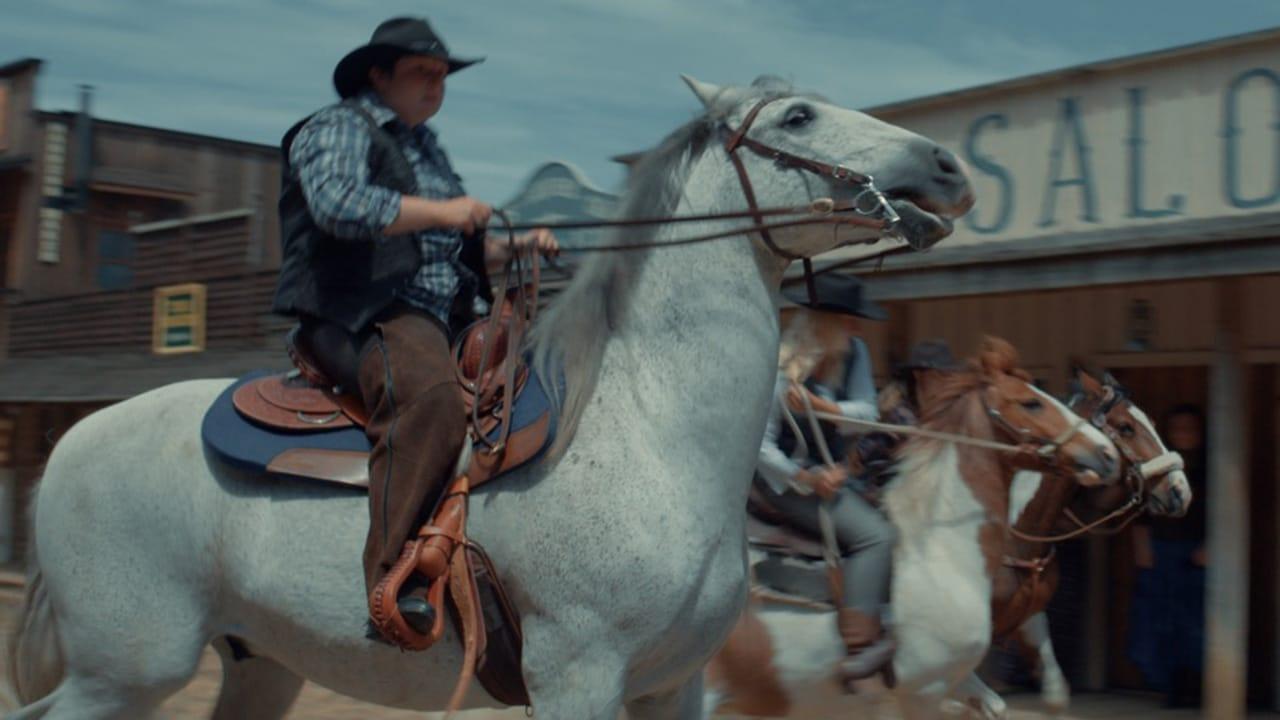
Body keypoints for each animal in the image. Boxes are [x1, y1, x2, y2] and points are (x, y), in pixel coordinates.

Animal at [5, 74, 972, 717]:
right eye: (800, 114)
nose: (949, 166)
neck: (650, 432)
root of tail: (75, 440)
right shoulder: (579, 679)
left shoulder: (675, 684)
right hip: (127, 669)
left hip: (258, 661)